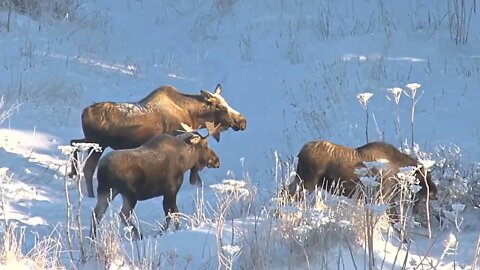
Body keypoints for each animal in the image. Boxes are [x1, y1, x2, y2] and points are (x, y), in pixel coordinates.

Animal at [70, 83, 248, 197]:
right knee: (89, 167)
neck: (193, 115)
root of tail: (83, 113)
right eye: (221, 107)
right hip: (99, 143)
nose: (242, 121)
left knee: (73, 142)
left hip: (91, 140)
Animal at [89, 123, 220, 239]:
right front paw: (167, 231)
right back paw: (138, 236)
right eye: (206, 144)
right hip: (129, 194)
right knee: (123, 214)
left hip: (106, 190)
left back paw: (92, 240)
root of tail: (103, 167)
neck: (185, 161)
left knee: (96, 213)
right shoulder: (171, 190)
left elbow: (171, 213)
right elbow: (173, 213)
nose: (217, 161)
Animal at [286, 141, 436, 221]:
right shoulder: (383, 196)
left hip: (301, 180)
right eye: (422, 175)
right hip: (307, 183)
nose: (434, 191)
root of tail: (300, 153)